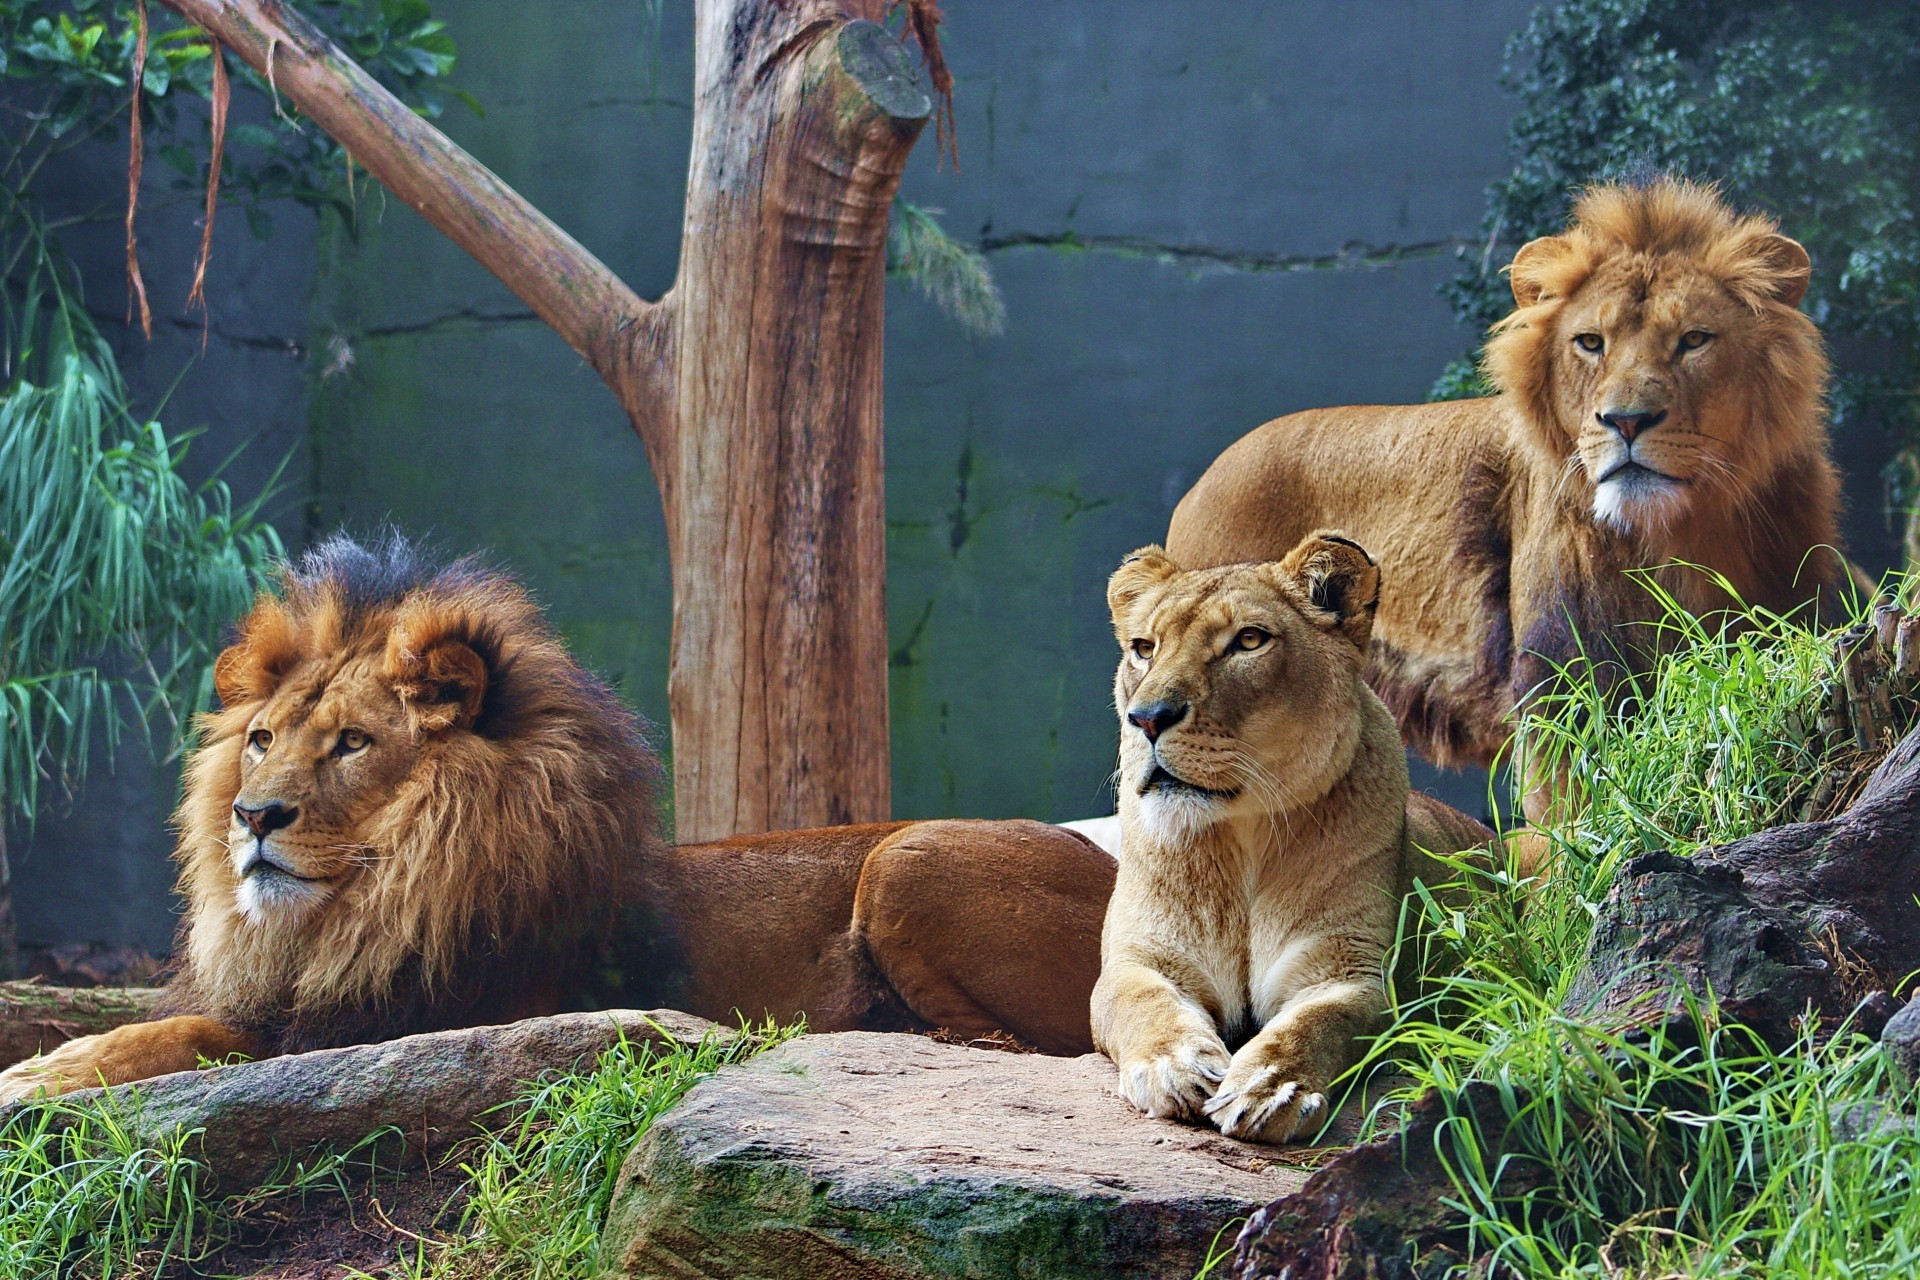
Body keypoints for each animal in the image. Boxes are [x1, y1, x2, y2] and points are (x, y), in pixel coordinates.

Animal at [0, 535, 1114, 1101]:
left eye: (353, 742)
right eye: (263, 737)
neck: (359, 906)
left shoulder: (423, 1015)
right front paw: (43, 1062)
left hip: (908, 855)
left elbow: (187, 1034)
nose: (251, 815)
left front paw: (37, 1078)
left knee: (1033, 1044)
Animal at [1093, 533, 1490, 1143]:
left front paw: (1269, 1088)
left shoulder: (1348, 970)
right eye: (1143, 648)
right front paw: (1173, 1066)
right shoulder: (1141, 957)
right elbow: (1142, 1002)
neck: (1241, 838)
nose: (1148, 718)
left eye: (1248, 640)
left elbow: (1316, 1023)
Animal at [1165, 178, 1861, 822]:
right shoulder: (1565, 686)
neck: (1680, 536)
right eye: (1590, 342)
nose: (1627, 421)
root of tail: (1198, 485)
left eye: (1694, 340)